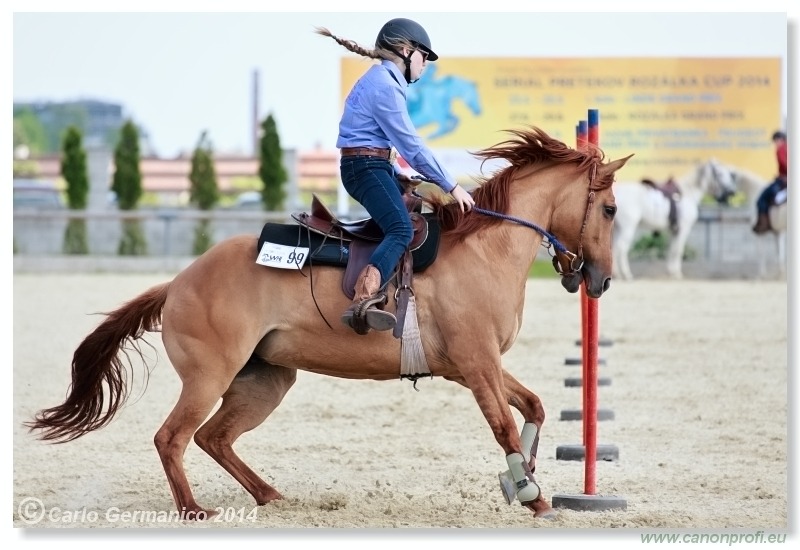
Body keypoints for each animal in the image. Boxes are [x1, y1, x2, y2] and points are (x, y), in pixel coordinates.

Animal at [26, 127, 632, 524]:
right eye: (609, 210)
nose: (599, 280)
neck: (486, 250)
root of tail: (177, 282)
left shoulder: (475, 366)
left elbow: (533, 407)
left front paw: (517, 479)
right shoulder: (477, 364)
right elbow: (504, 425)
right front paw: (531, 492)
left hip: (265, 380)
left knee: (213, 437)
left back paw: (270, 496)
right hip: (209, 377)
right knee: (172, 437)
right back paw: (195, 510)